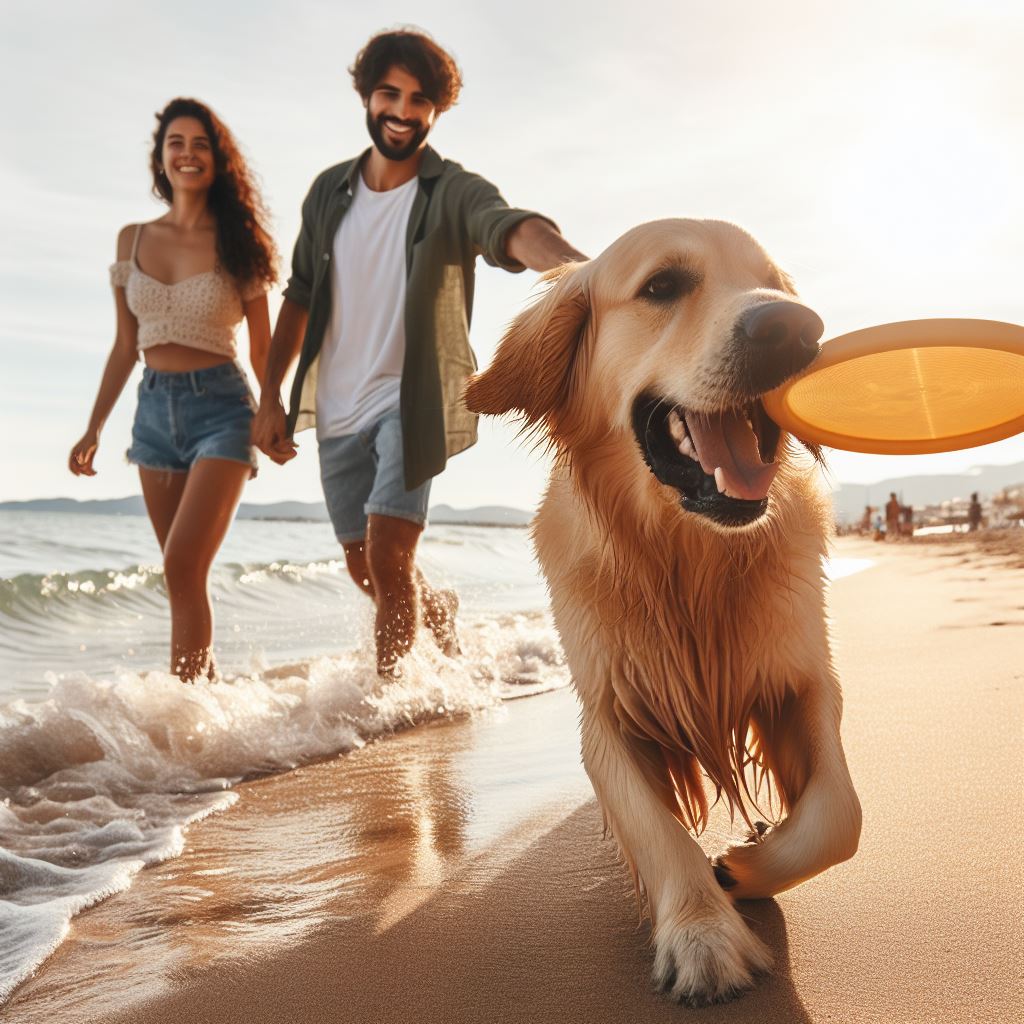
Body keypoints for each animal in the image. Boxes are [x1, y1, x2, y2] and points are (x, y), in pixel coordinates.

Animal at [468, 220, 860, 1003]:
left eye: (772, 282)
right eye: (662, 286)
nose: (794, 328)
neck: (689, 560)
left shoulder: (804, 679)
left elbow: (839, 815)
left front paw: (751, 865)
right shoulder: (610, 714)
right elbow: (657, 832)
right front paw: (703, 936)